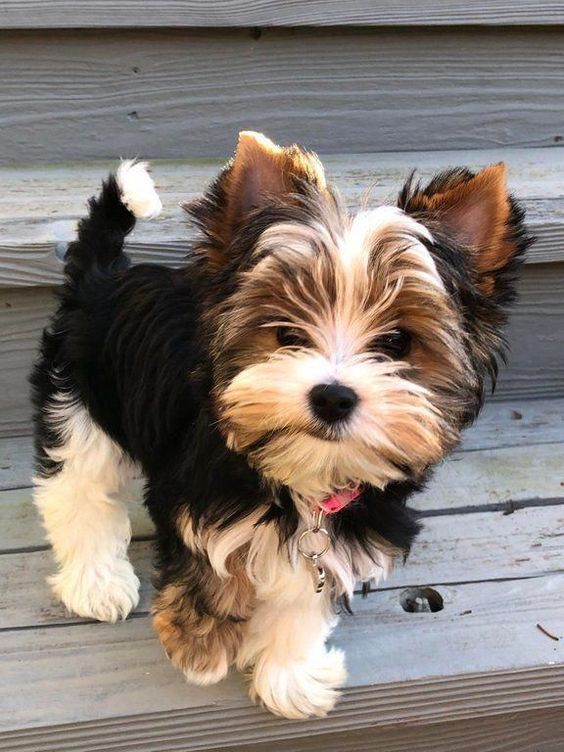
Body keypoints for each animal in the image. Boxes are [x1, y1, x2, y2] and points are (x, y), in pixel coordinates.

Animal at [33, 132, 532, 720]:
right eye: (286, 333)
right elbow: (208, 561)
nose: (333, 396)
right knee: (78, 486)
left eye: (397, 342)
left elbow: (302, 594)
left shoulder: (345, 533)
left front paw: (288, 676)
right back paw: (96, 581)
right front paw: (203, 643)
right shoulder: (193, 495)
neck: (304, 475)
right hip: (80, 397)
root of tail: (104, 278)